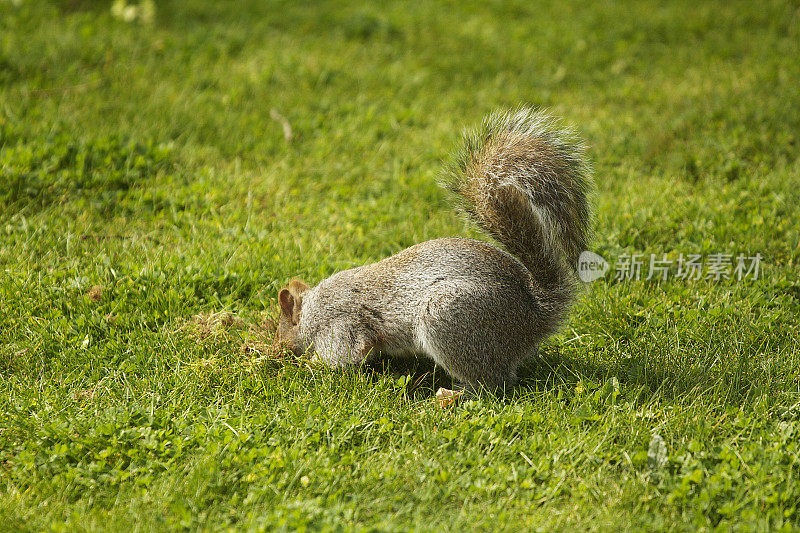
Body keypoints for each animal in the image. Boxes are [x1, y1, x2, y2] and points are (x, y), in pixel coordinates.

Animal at [276, 106, 592, 392]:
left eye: (282, 328)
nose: (279, 350)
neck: (311, 309)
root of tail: (535, 315)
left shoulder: (338, 323)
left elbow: (342, 357)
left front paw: (305, 367)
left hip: (447, 318)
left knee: (495, 382)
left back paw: (451, 395)